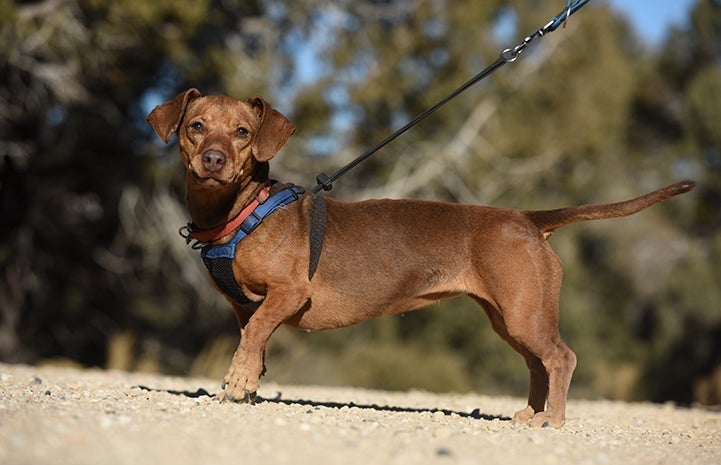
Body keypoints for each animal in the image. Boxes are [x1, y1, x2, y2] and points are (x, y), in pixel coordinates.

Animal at [145, 89, 692, 426]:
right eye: (196, 126)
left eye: (242, 132)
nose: (213, 159)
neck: (242, 213)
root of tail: (525, 217)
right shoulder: (244, 306)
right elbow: (253, 340)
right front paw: (249, 382)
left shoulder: (289, 293)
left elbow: (256, 334)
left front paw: (236, 382)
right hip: (510, 317)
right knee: (540, 365)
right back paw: (531, 415)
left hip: (524, 313)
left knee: (562, 357)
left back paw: (553, 420)